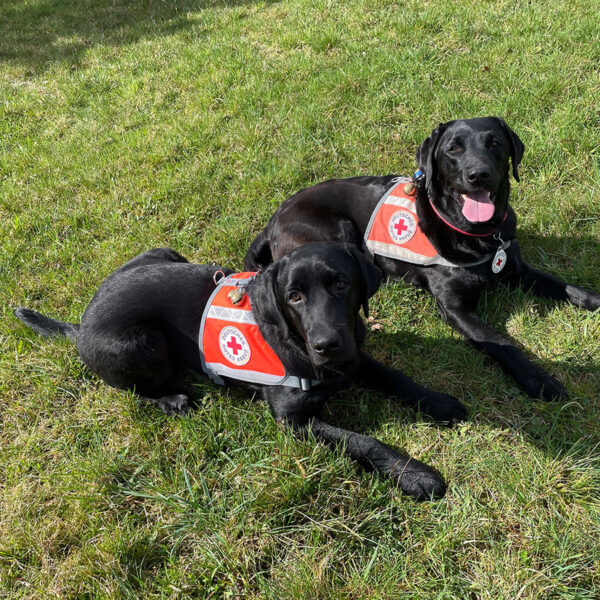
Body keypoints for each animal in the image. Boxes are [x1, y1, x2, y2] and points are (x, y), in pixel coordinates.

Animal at [12, 241, 464, 500]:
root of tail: (80, 323)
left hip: (165, 253)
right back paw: (173, 399)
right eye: (294, 297)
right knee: (137, 390)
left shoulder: (354, 356)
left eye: (341, 284)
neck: (297, 343)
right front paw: (416, 475)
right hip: (143, 345)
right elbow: (362, 440)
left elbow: (396, 377)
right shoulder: (293, 421)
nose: (326, 345)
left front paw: (440, 403)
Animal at [244, 118, 600, 404]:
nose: (479, 174)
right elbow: (501, 342)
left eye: (495, 143)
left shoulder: (518, 270)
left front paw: (593, 299)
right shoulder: (456, 308)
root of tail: (273, 220)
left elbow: (567, 287)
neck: (477, 235)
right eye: (453, 149)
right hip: (336, 231)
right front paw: (539, 380)